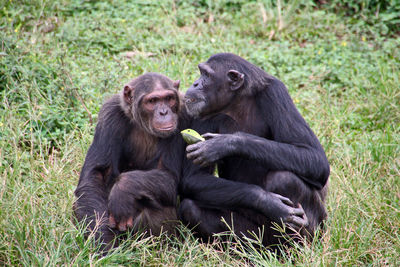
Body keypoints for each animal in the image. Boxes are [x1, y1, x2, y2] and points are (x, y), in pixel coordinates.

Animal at [74, 73, 189, 251]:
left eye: (169, 98)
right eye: (152, 101)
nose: (164, 112)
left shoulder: (183, 116)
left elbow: (168, 175)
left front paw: (123, 190)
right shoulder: (110, 114)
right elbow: (96, 175)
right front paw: (105, 244)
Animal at [180, 52, 330, 249]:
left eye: (206, 75)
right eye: (201, 73)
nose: (195, 83)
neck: (236, 101)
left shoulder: (276, 94)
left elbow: (315, 157)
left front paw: (223, 144)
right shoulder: (200, 114)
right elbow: (194, 177)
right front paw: (269, 202)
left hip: (319, 227)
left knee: (284, 179)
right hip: (257, 236)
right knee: (190, 209)